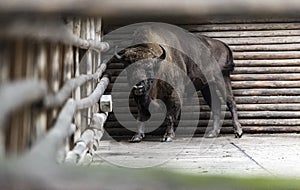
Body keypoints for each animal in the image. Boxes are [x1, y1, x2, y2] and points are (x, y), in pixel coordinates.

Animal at [111, 23, 243, 142]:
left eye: (149, 68)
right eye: (129, 68)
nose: (138, 86)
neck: (159, 64)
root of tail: (223, 45)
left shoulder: (174, 93)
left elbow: (170, 115)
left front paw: (168, 136)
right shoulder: (140, 98)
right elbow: (141, 114)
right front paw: (137, 137)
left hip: (222, 79)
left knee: (230, 101)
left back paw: (238, 132)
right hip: (207, 87)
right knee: (216, 105)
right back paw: (212, 133)